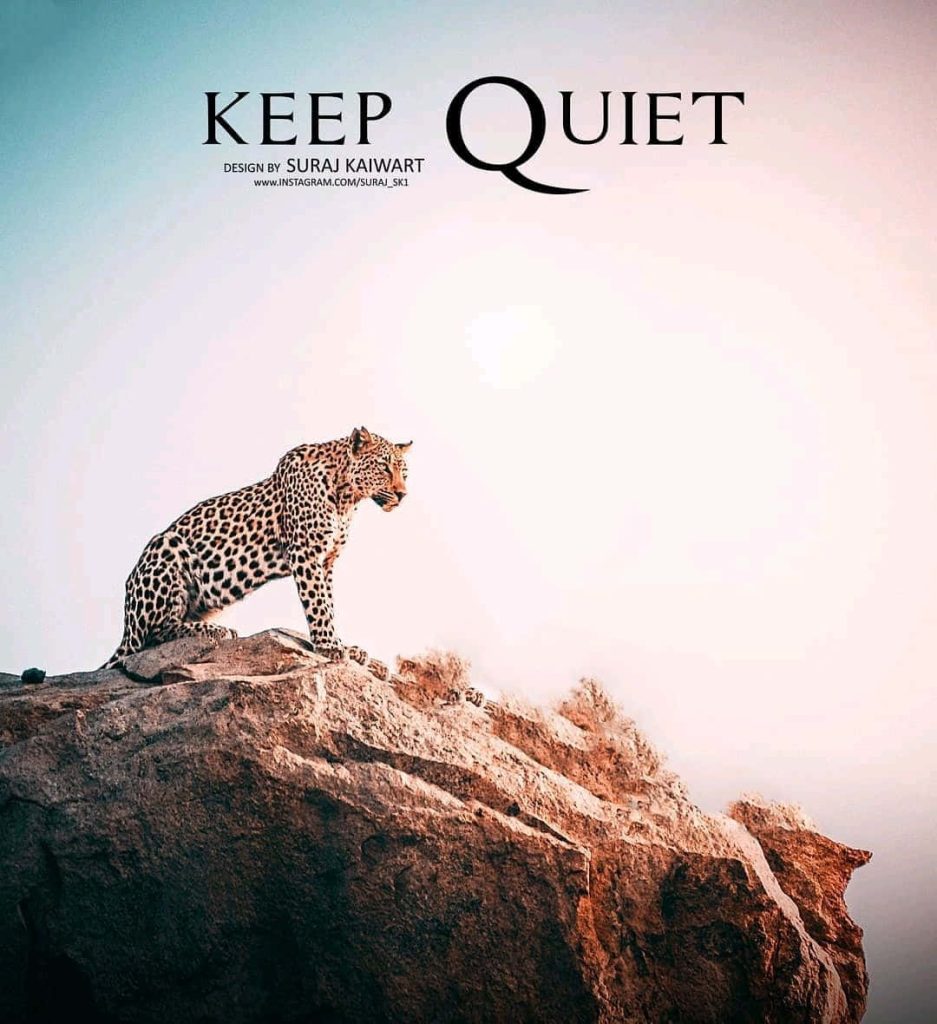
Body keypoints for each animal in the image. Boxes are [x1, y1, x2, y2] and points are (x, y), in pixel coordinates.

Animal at [102, 426, 410, 675]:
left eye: (404, 471)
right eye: (384, 468)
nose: (402, 494)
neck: (347, 498)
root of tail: (126, 627)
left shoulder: (327, 561)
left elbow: (329, 603)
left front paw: (343, 645)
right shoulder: (306, 553)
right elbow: (318, 604)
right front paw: (329, 646)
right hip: (166, 547)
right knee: (153, 636)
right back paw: (217, 631)